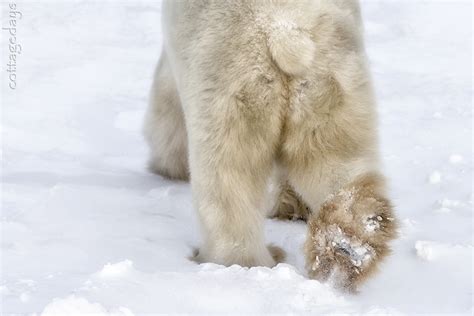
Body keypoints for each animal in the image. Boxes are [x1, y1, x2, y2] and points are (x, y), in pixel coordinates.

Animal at [143, 0, 396, 292]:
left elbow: (166, 106)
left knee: (228, 179)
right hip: (333, 81)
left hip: (233, 82)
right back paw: (348, 251)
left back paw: (239, 261)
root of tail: (285, 34)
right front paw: (291, 206)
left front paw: (167, 168)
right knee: (338, 166)